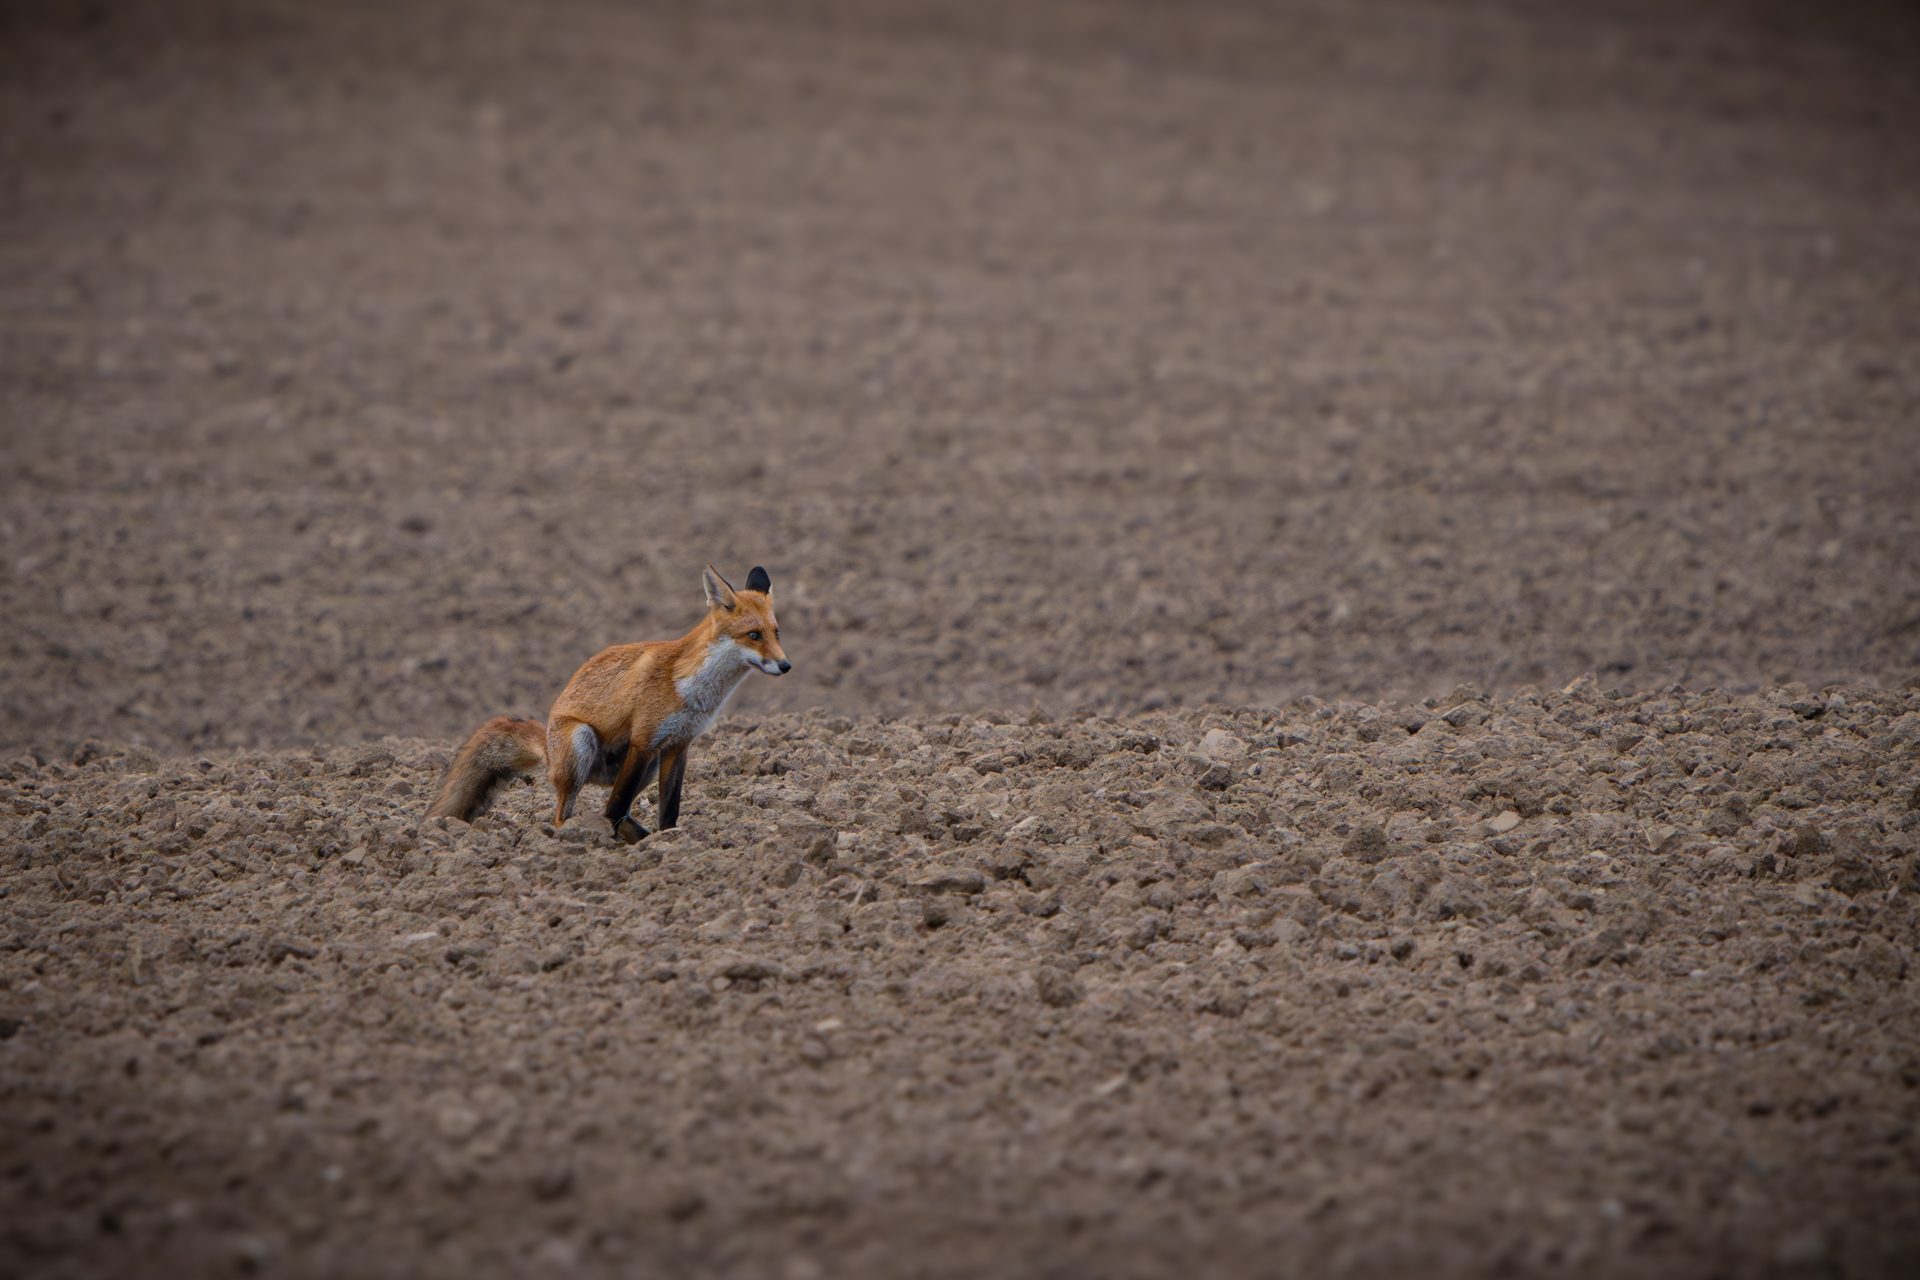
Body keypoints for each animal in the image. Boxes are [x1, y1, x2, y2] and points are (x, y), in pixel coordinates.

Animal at [432, 564, 791, 844]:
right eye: (753, 635)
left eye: (776, 633)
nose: (786, 666)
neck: (694, 691)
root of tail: (546, 747)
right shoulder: (644, 740)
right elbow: (615, 806)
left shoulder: (678, 745)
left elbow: (668, 808)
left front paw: (669, 841)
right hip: (582, 745)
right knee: (567, 815)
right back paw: (583, 836)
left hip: (646, 768)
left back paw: (634, 838)